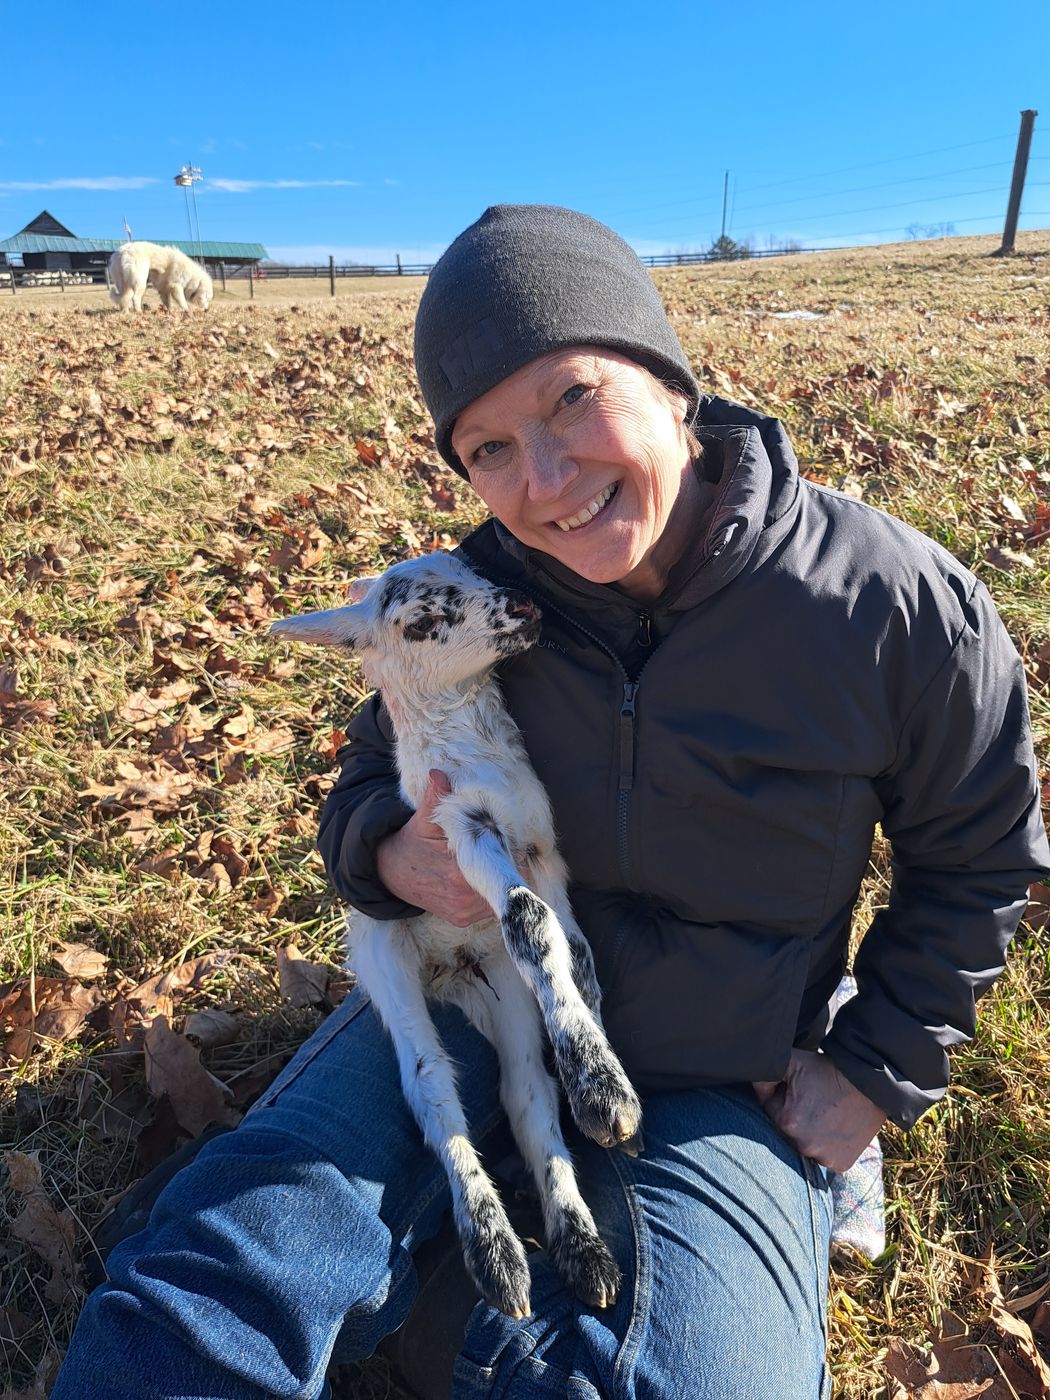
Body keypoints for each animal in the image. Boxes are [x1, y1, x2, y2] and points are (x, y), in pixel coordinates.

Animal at [272, 551, 642, 1319]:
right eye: (420, 622)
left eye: (469, 565)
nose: (523, 606)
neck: (475, 741)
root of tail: (452, 969)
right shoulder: (461, 828)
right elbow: (529, 921)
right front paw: (602, 1090)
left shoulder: (543, 850)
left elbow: (575, 953)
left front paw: (603, 1083)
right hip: (385, 963)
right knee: (432, 1090)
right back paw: (495, 1253)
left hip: (502, 987)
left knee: (525, 1095)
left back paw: (582, 1251)